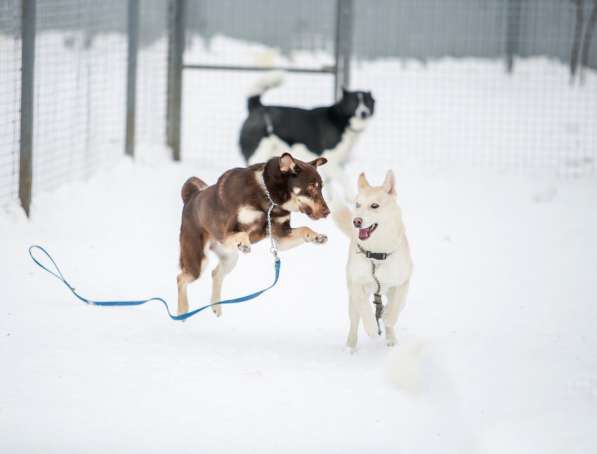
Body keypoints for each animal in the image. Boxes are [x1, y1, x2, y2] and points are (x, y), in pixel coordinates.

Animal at [177, 153, 330, 316]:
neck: (268, 197)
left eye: (321, 187)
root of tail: (190, 198)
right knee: (181, 278)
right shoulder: (226, 233)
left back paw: (216, 307)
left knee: (215, 274)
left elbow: (305, 229)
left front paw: (317, 237)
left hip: (229, 258)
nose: (328, 212)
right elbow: (243, 233)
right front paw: (245, 243)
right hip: (198, 261)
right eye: (311, 187)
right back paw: (182, 311)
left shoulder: (281, 236)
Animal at [237, 72, 372, 200]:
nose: (364, 112)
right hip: (257, 155)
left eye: (367, 102)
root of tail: (256, 107)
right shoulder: (332, 161)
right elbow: (345, 178)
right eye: (354, 103)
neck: (340, 119)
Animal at [332, 170, 412, 352]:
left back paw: (391, 337)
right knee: (354, 322)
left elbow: (396, 306)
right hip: (352, 302)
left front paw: (388, 316)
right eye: (357, 205)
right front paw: (372, 329)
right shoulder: (356, 284)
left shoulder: (403, 281)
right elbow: (364, 307)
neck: (377, 253)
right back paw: (350, 347)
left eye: (374, 206)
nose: (356, 221)